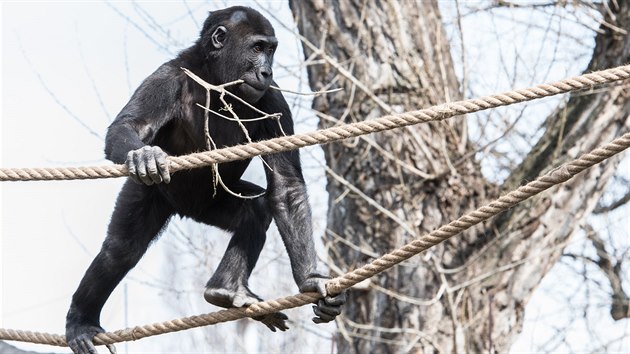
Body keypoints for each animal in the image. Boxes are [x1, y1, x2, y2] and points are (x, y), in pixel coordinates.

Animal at [66, 6, 348, 354]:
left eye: (271, 49)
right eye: (257, 47)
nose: (266, 70)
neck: (218, 80)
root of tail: (185, 211)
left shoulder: (275, 101)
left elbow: (285, 186)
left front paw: (310, 280)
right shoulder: (166, 78)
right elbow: (130, 125)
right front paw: (143, 155)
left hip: (210, 208)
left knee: (256, 209)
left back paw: (225, 290)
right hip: (149, 193)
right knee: (121, 250)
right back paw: (80, 321)